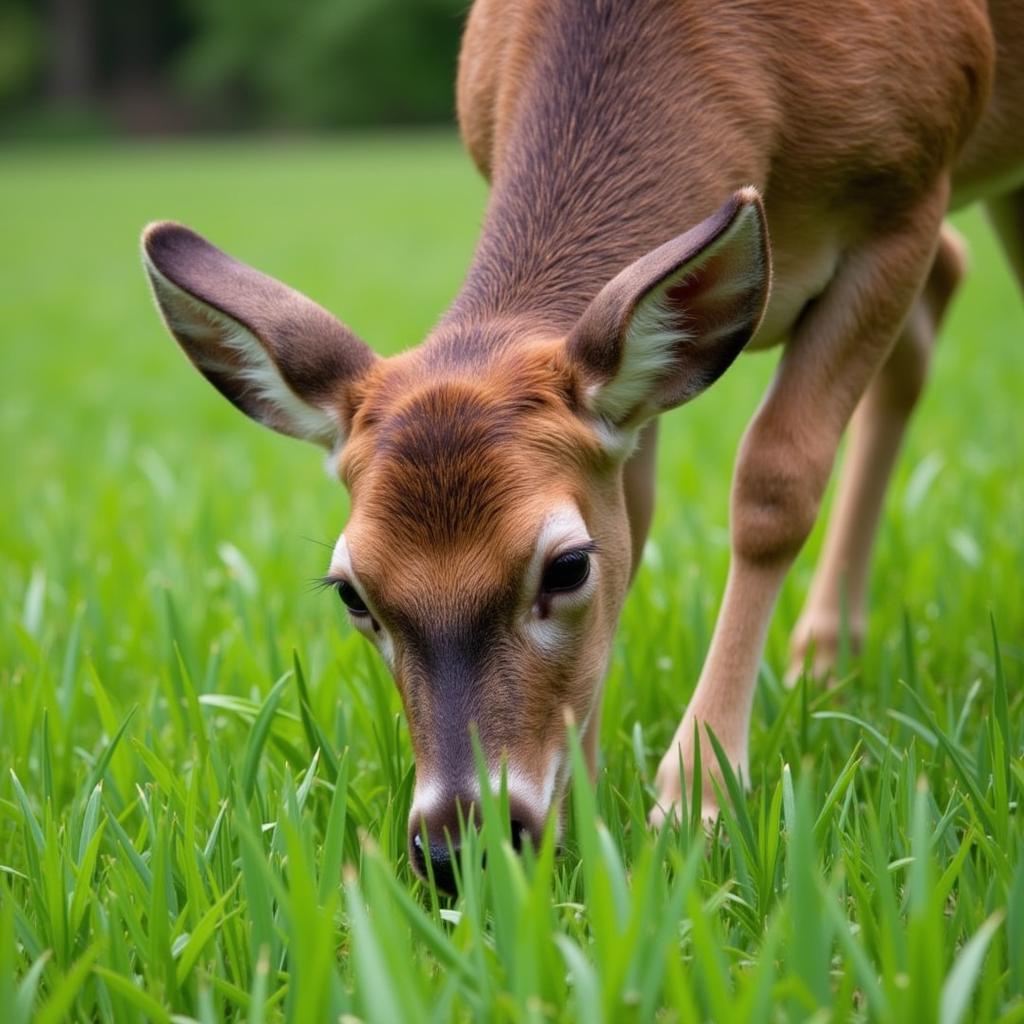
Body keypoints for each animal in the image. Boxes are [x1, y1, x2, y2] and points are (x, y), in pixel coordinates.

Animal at [144, 0, 1024, 888]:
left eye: (566, 567)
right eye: (353, 593)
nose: (460, 848)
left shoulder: (908, 196)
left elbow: (775, 481)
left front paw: (698, 798)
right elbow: (637, 514)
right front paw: (590, 813)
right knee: (939, 298)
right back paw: (823, 654)